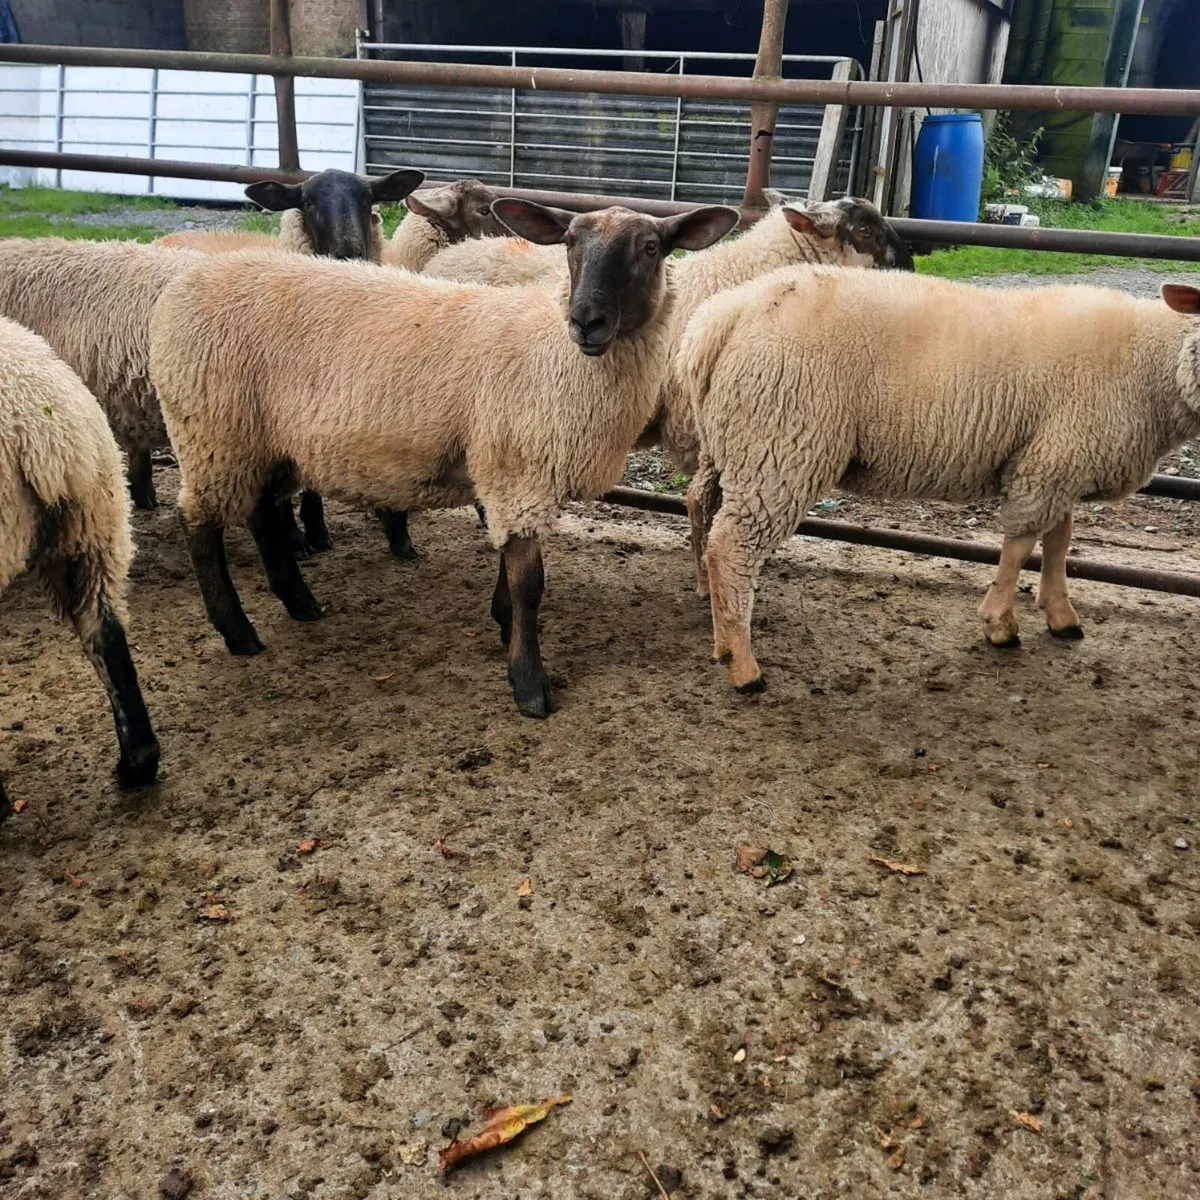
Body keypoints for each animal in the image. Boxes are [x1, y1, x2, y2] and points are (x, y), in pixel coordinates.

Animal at [149, 201, 739, 718]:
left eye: (650, 248)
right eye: (570, 243)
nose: (586, 321)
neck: (554, 355)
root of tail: (188, 281)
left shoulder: (510, 474)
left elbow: (511, 567)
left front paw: (502, 623)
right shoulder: (516, 469)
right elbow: (530, 584)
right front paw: (528, 684)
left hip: (263, 441)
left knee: (262, 512)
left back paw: (299, 603)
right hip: (213, 431)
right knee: (199, 523)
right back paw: (237, 630)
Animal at [676, 268, 1200, 693]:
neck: (1150, 362)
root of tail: (721, 319)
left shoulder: (1059, 462)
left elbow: (1059, 540)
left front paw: (1060, 614)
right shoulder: (1051, 462)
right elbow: (1022, 543)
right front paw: (1000, 623)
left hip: (734, 443)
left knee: (700, 504)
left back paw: (711, 611)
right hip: (781, 444)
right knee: (732, 547)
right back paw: (743, 666)